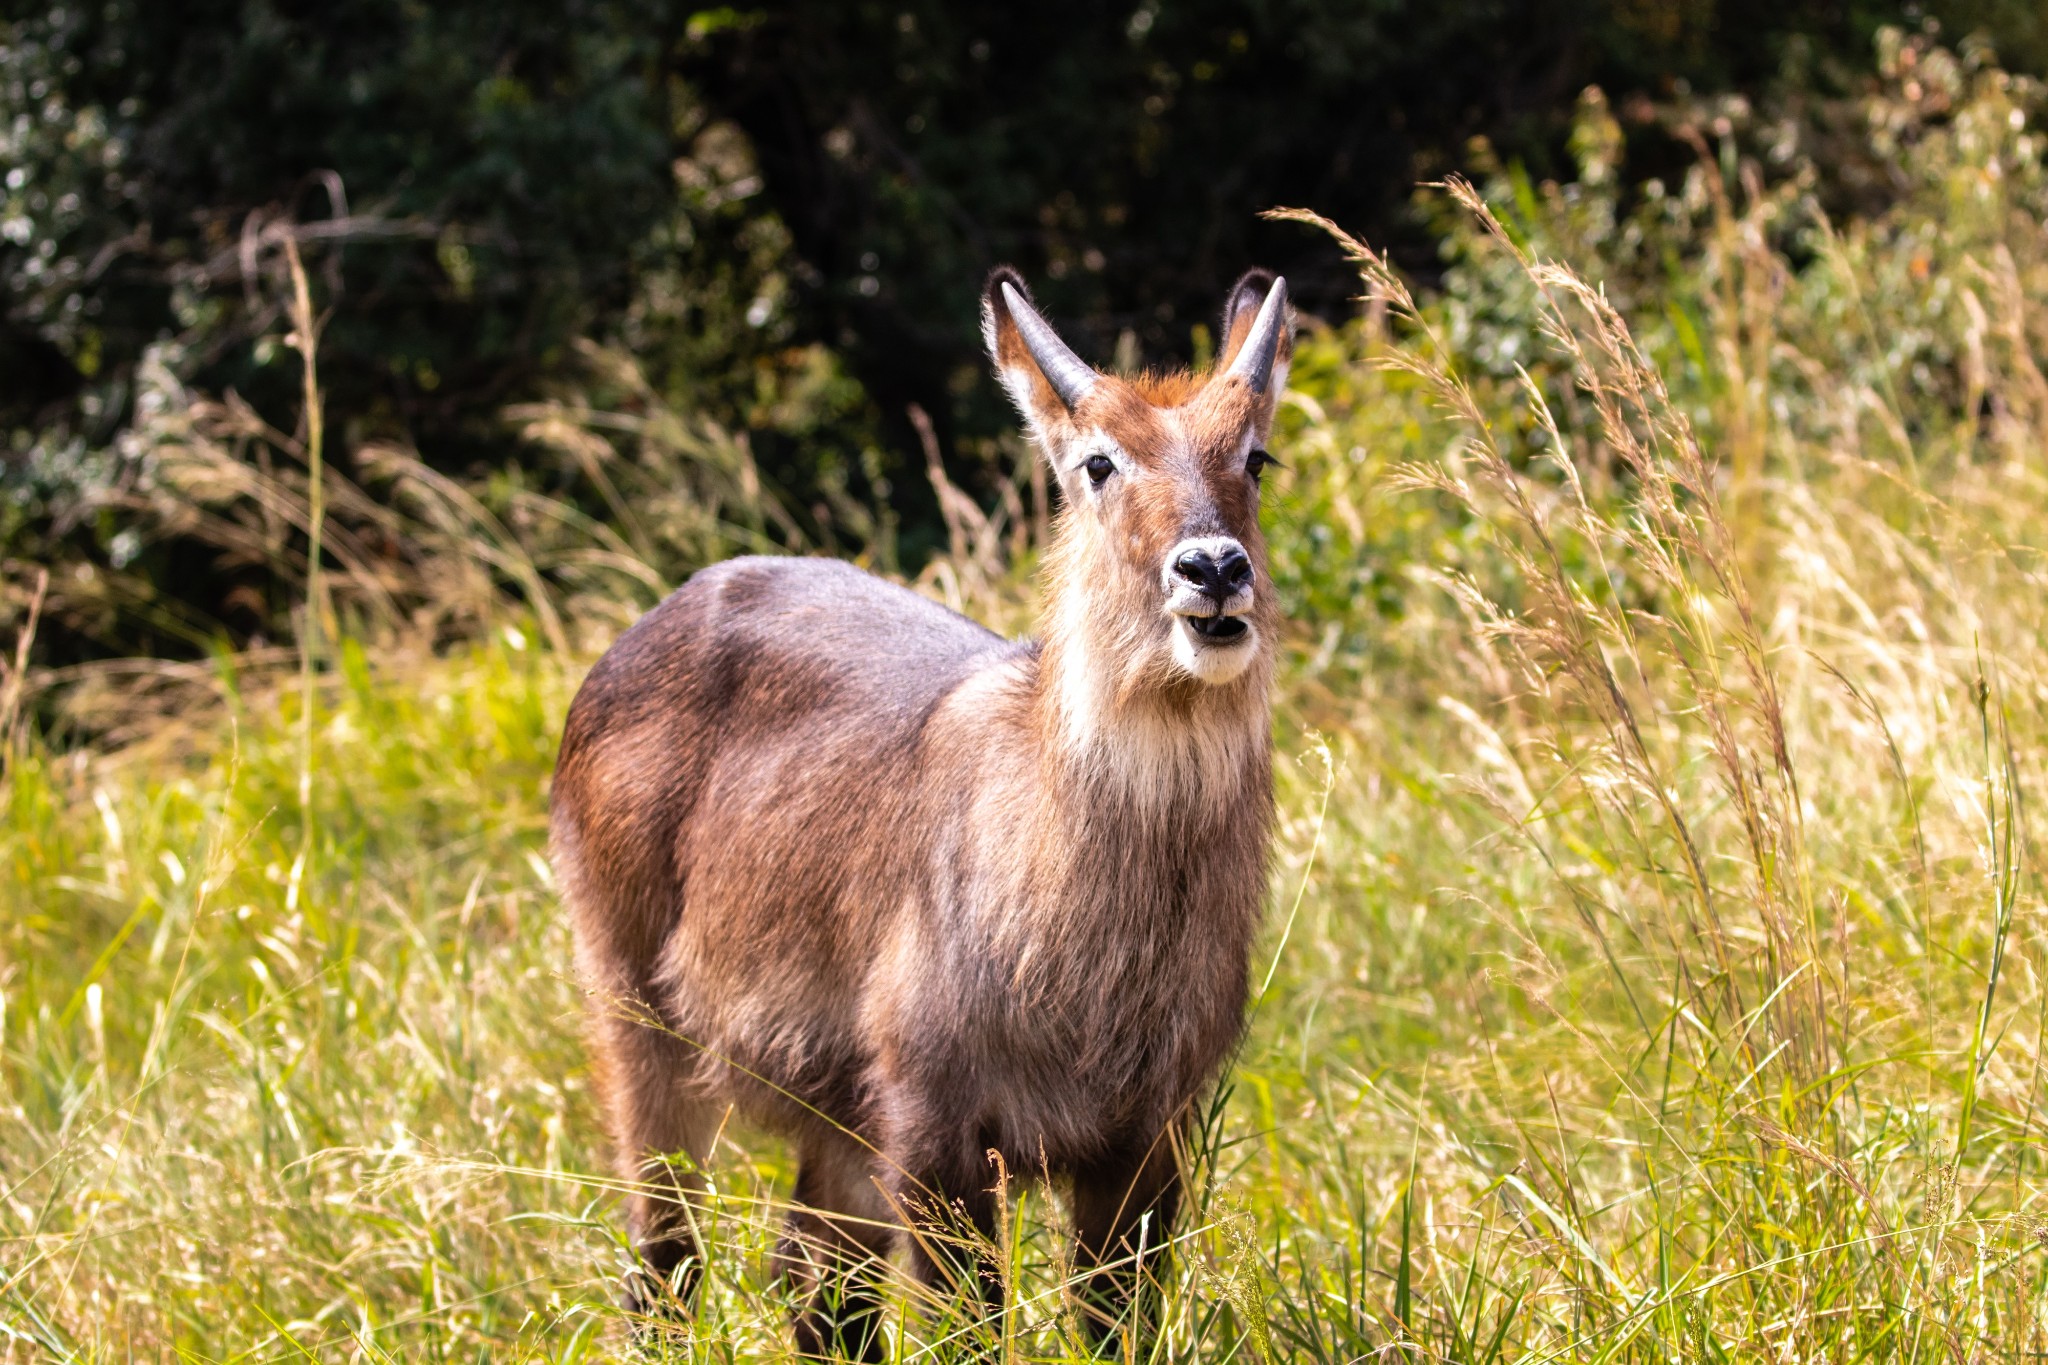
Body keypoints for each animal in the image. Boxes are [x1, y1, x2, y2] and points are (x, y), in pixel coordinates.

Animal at [552, 266, 1286, 1358]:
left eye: (1254, 455)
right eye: (1097, 461)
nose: (1213, 569)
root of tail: (666, 609)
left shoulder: (1146, 1136)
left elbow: (1113, 1325)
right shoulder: (935, 1130)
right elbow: (972, 1329)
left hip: (834, 1115)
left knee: (813, 1288)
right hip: (641, 1021)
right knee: (666, 1261)